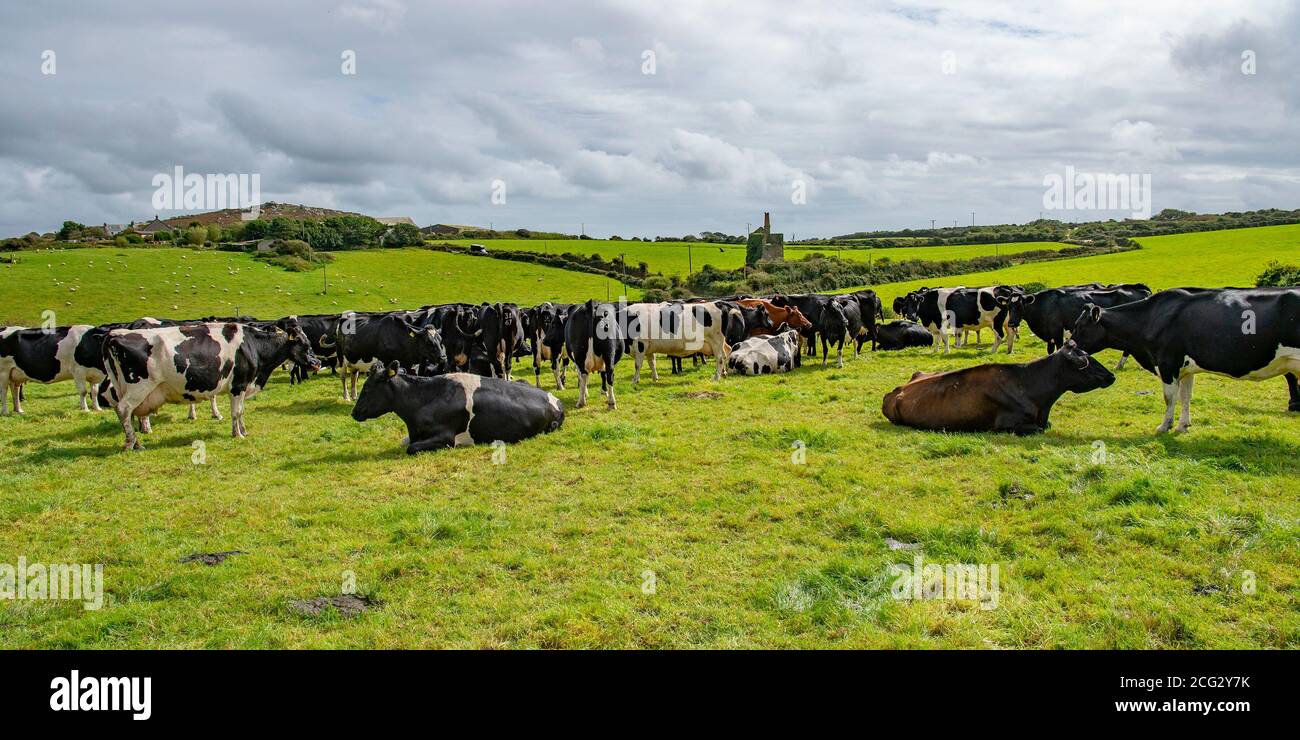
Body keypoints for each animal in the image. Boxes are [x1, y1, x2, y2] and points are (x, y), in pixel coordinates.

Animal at [98, 318, 317, 449]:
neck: (252, 345)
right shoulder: (238, 385)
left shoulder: (243, 385)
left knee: (125, 412)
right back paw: (132, 443)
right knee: (124, 409)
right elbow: (236, 412)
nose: (317, 362)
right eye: (304, 344)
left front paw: (243, 430)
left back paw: (135, 440)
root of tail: (115, 335)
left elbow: (242, 411)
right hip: (139, 387)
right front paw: (237, 434)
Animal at [351, 361, 564, 452]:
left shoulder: (446, 437)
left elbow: (411, 447)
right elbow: (405, 442)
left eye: (367, 388)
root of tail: (557, 401)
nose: (354, 413)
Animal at [1071, 284, 1300, 431]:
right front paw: (1183, 425)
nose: (1068, 345)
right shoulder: (1186, 368)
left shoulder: (1167, 364)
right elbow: (1186, 396)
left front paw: (1165, 426)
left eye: (1080, 327)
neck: (1151, 318)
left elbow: (1169, 397)